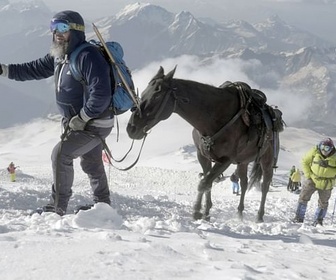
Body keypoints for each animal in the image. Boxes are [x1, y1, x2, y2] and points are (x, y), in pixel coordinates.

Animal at [126, 66, 284, 222]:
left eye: (157, 95)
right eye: (144, 93)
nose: (131, 128)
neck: (215, 118)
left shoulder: (226, 160)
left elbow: (204, 183)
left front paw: (197, 211)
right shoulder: (203, 156)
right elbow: (207, 183)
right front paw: (206, 213)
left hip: (266, 160)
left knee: (265, 185)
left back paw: (259, 216)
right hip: (243, 161)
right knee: (244, 183)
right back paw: (239, 213)